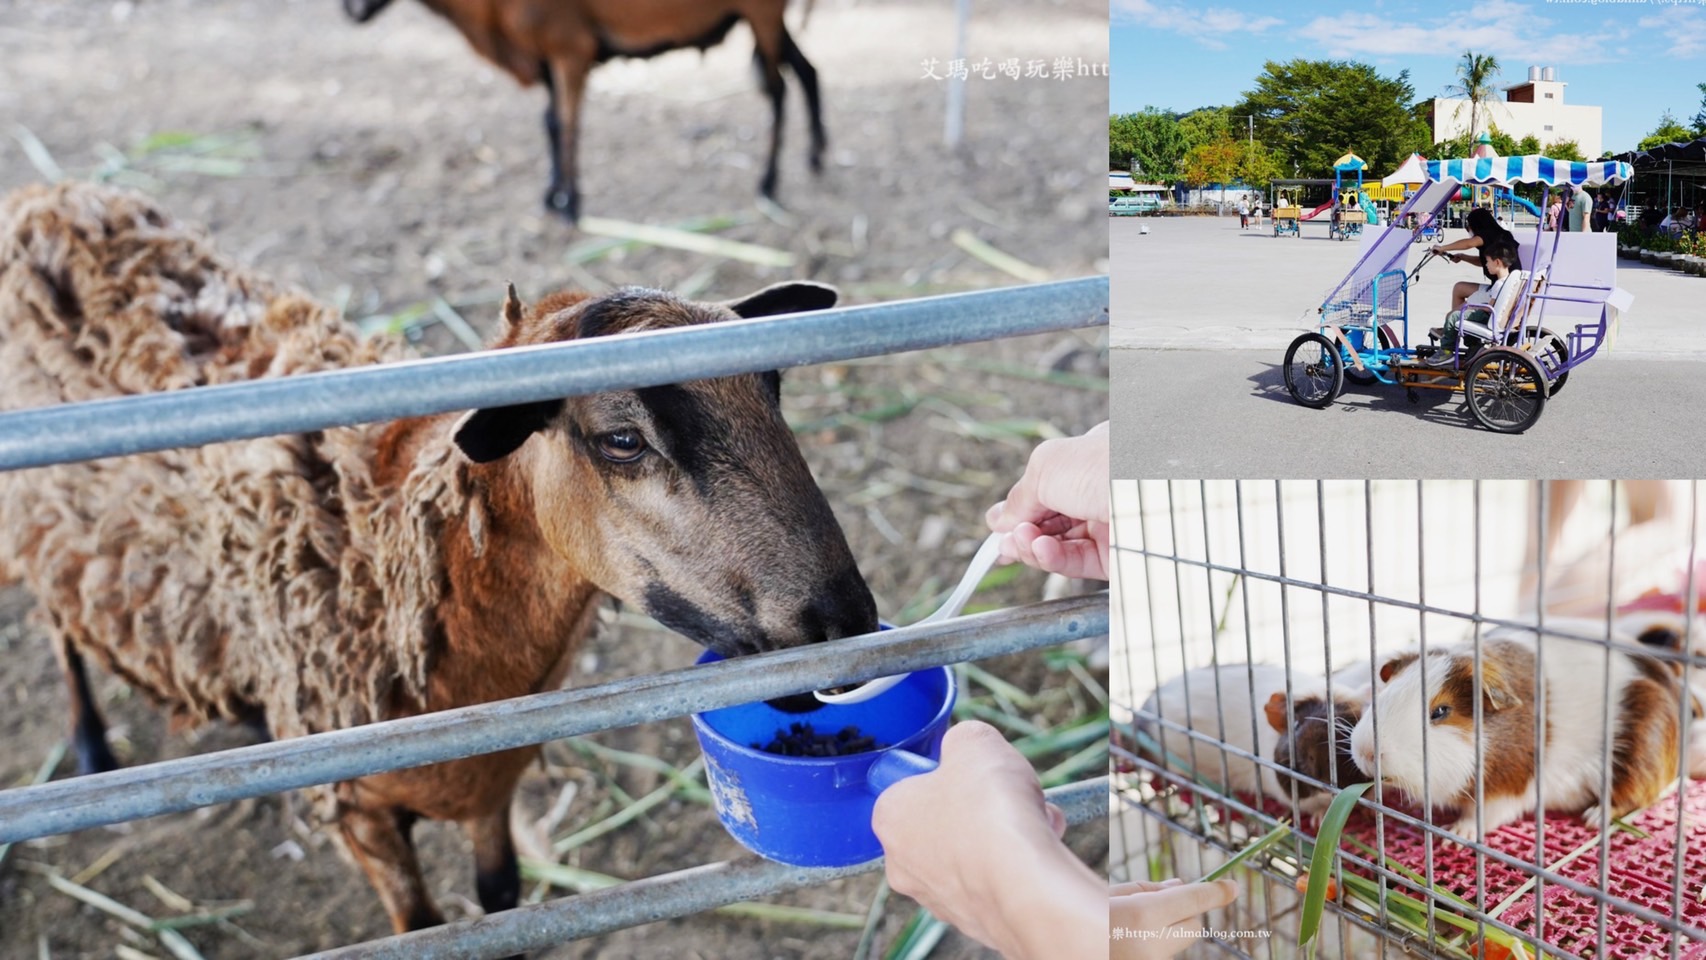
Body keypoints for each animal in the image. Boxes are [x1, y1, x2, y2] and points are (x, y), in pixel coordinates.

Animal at [0, 184, 880, 934]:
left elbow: (499, 901)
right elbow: (423, 927)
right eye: (623, 439)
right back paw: (90, 744)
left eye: (774, 390)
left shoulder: (496, 782)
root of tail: (49, 196)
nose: (845, 619)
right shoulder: (362, 817)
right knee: (57, 622)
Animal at [342, 0, 822, 221]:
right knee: (807, 71)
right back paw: (815, 157)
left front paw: (571, 204)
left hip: (763, 13)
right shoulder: (548, 57)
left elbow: (569, 124)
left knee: (778, 90)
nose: (350, 11)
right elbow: (551, 123)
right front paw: (552, 196)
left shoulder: (571, 49)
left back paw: (768, 183)